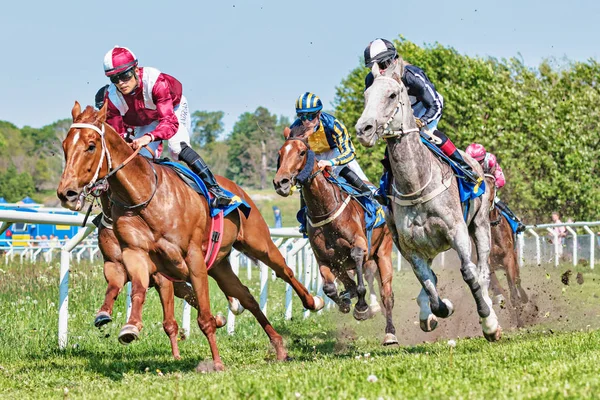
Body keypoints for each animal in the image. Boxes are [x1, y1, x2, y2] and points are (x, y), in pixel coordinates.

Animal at [57, 103, 324, 372]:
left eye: (91, 145)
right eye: (65, 146)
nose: (66, 192)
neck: (144, 197)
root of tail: (235, 188)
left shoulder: (193, 258)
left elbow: (203, 317)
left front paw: (217, 362)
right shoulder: (135, 255)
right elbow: (136, 289)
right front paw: (128, 326)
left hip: (258, 243)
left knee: (284, 270)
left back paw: (313, 302)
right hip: (219, 266)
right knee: (247, 297)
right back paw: (279, 347)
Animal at [274, 126, 398, 346]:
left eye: (302, 152)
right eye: (280, 154)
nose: (281, 182)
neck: (325, 210)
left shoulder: (360, 245)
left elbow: (358, 268)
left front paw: (362, 307)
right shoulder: (324, 258)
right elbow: (330, 288)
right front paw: (345, 302)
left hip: (383, 251)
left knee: (387, 294)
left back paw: (390, 332)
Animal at [356, 60, 502, 340]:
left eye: (392, 95)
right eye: (366, 96)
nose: (363, 129)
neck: (417, 187)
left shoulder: (457, 231)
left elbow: (470, 273)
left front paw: (488, 321)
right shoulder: (412, 248)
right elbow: (430, 288)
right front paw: (437, 309)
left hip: (480, 224)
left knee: (483, 270)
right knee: (432, 278)